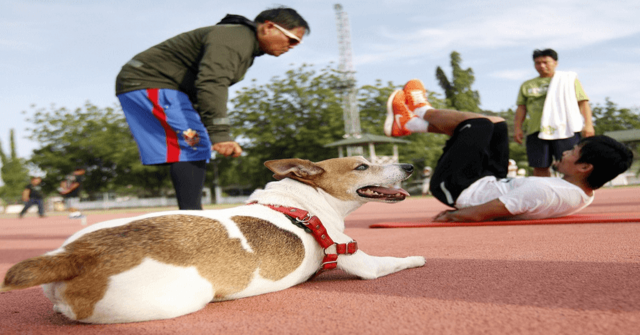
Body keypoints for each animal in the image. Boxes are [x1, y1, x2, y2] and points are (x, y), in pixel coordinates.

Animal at [1, 158, 424, 326]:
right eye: (362, 165)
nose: (409, 166)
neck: (303, 202)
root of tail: (75, 254)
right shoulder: (362, 262)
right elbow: (396, 260)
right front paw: (417, 258)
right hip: (177, 299)